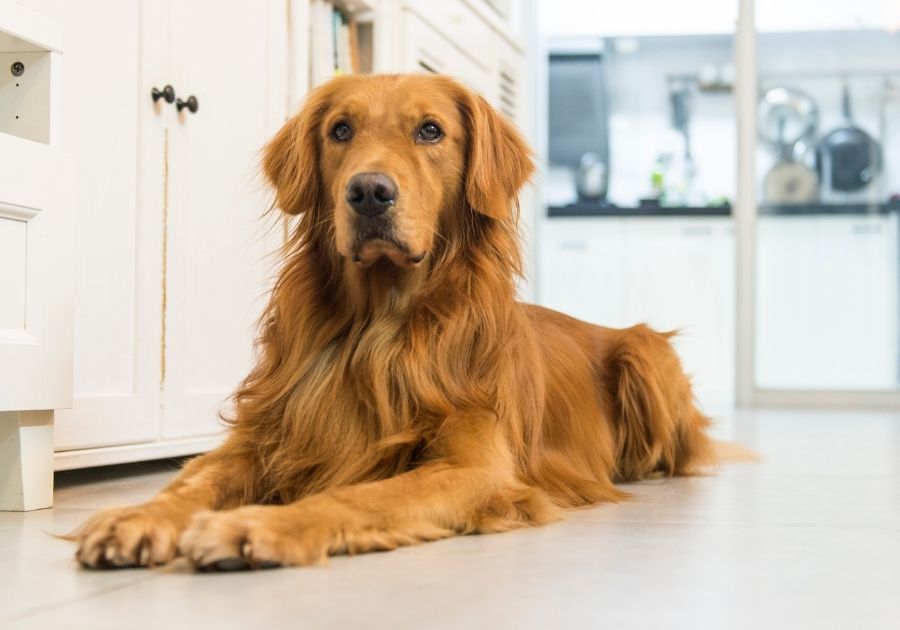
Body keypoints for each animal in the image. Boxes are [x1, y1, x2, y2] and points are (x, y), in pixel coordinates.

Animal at [70, 74, 712, 572]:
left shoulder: (478, 468)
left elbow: (358, 497)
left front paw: (257, 527)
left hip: (646, 350)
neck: (377, 328)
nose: (370, 192)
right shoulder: (265, 436)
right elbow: (194, 480)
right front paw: (137, 516)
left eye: (430, 130)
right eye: (340, 131)